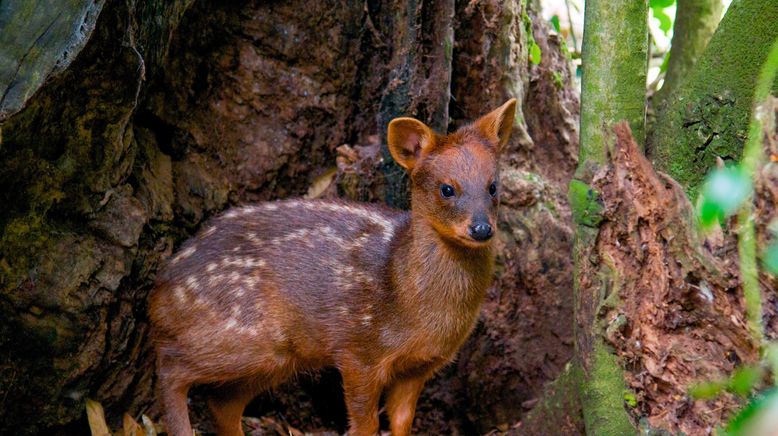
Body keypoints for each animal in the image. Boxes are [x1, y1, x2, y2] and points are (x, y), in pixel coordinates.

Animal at [149, 99, 520, 436]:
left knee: (221, 403)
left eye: (493, 186)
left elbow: (402, 421)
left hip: (277, 356)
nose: (482, 228)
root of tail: (158, 295)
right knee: (171, 366)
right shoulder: (358, 349)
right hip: (242, 333)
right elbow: (366, 423)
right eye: (447, 189)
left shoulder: (420, 365)